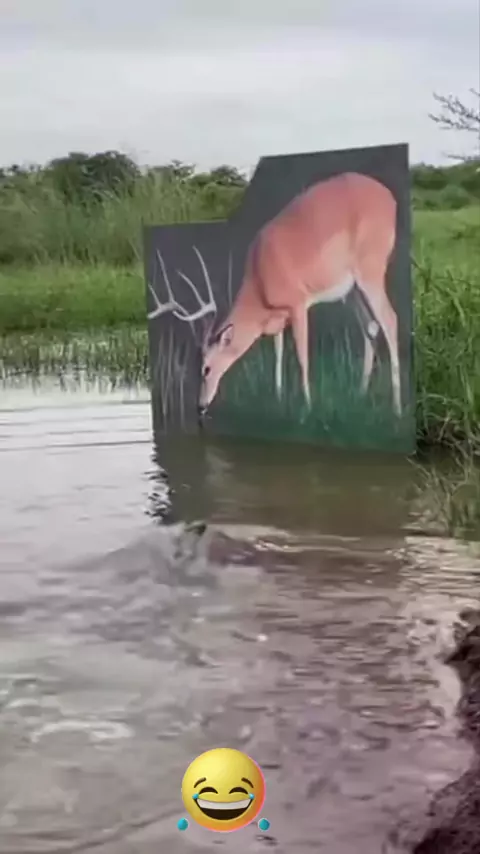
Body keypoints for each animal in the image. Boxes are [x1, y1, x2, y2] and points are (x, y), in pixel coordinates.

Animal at [147, 171, 402, 419]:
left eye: (206, 368)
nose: (200, 406)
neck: (259, 280)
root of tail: (390, 199)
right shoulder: (279, 316)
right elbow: (278, 353)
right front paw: (278, 398)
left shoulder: (298, 303)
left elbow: (301, 357)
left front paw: (307, 407)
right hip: (352, 288)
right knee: (370, 325)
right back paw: (361, 394)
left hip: (370, 268)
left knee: (390, 319)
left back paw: (397, 408)